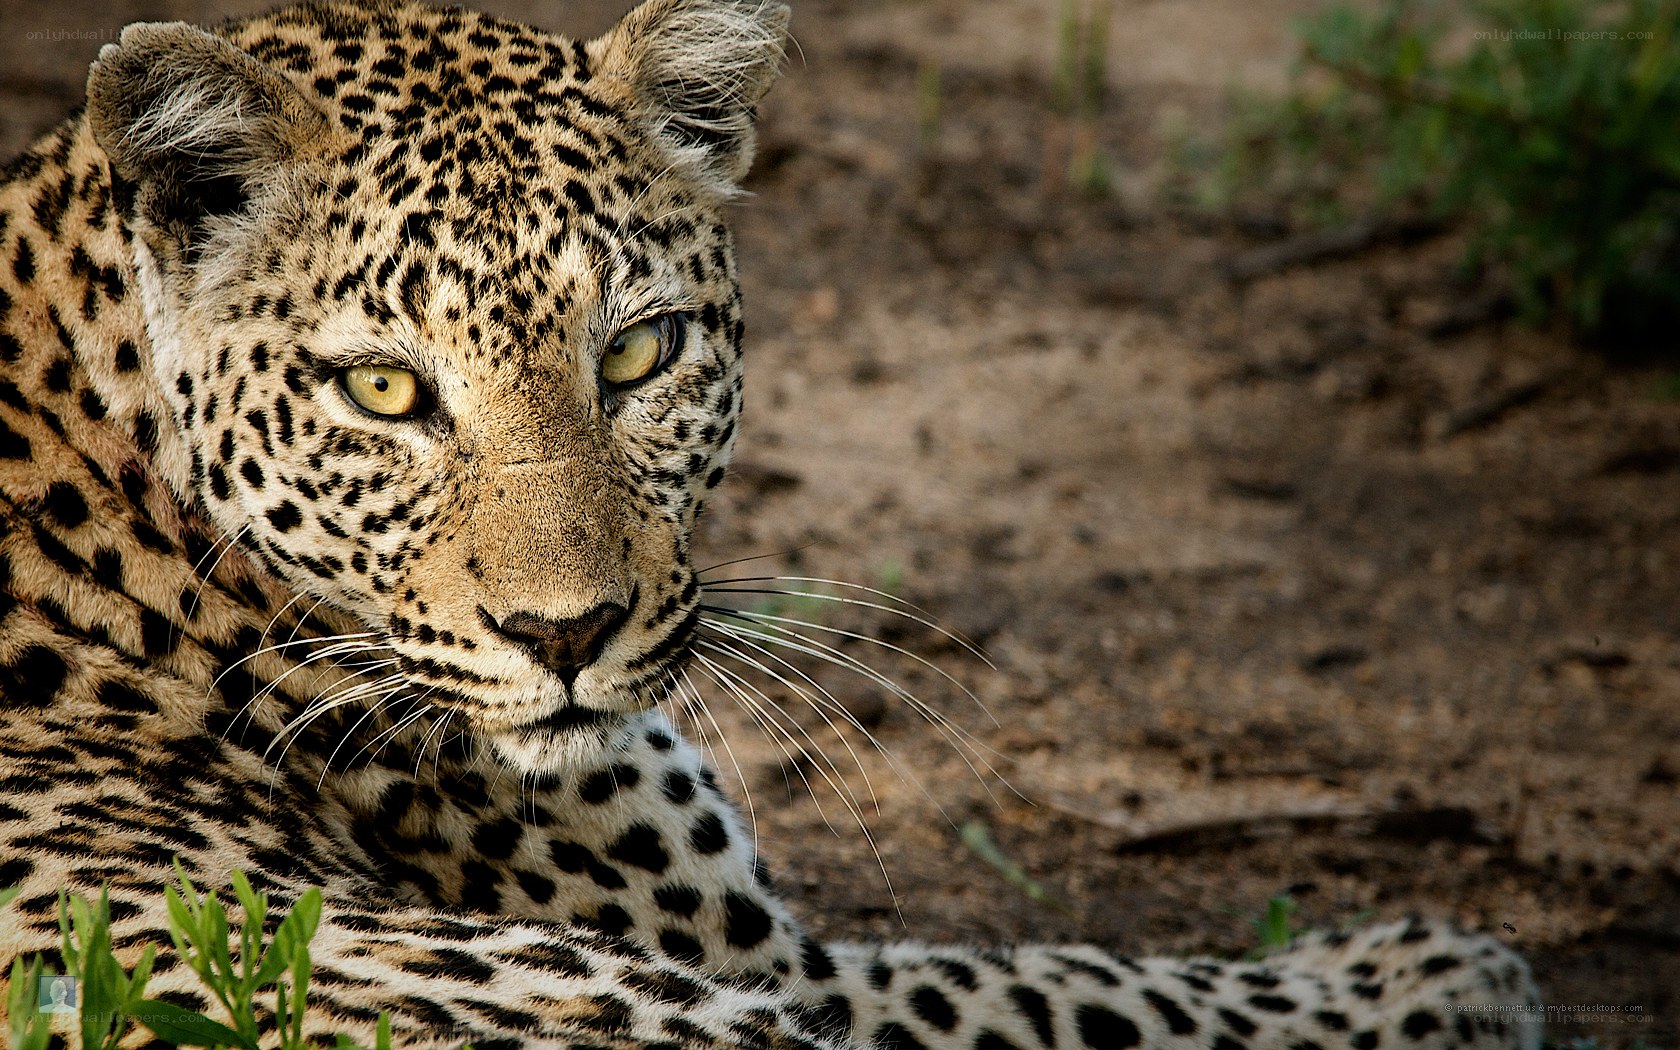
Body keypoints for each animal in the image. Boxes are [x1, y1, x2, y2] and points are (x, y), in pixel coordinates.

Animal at [0, 1, 1544, 1047]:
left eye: (639, 353)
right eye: (383, 388)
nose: (567, 635)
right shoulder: (783, 969)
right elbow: (1065, 983)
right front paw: (1426, 973)